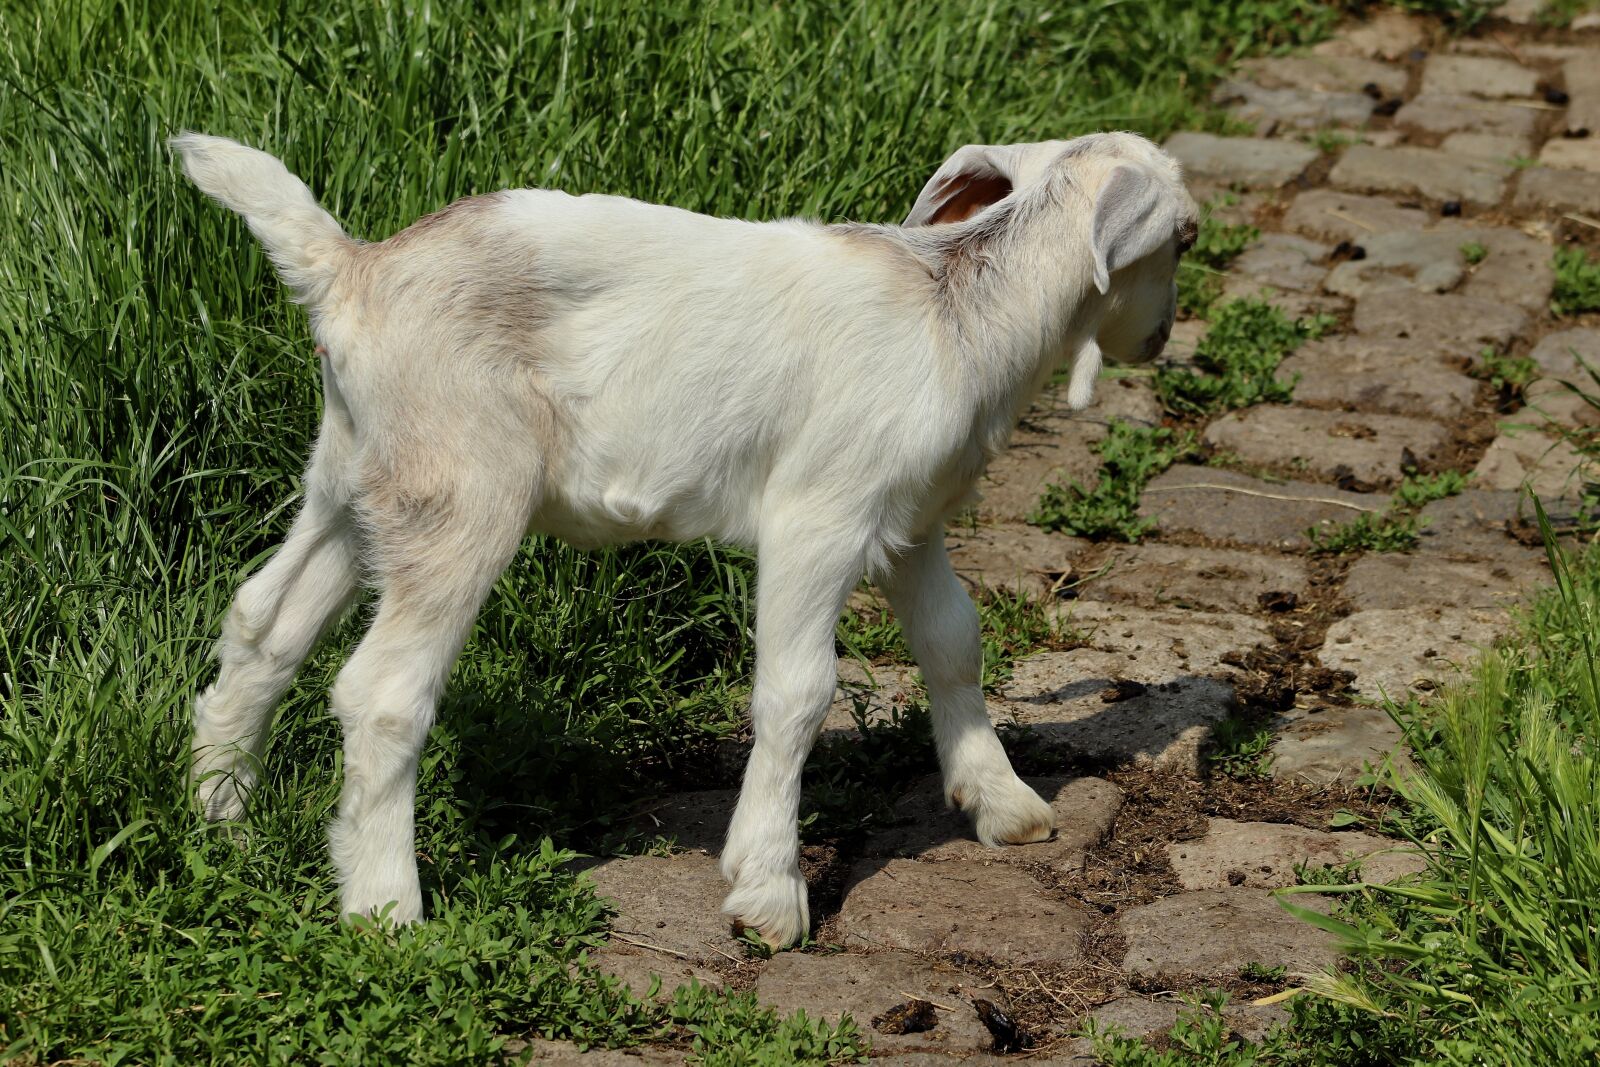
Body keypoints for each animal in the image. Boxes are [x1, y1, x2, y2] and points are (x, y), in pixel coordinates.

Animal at [174, 130, 1197, 947]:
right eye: (1186, 238)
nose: (1159, 339)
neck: (961, 311)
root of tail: (351, 271)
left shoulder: (910, 518)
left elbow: (953, 639)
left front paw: (1004, 803)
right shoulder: (819, 512)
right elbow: (798, 688)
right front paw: (768, 893)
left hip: (357, 478)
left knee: (264, 620)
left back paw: (221, 820)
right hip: (460, 487)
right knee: (382, 691)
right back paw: (386, 909)